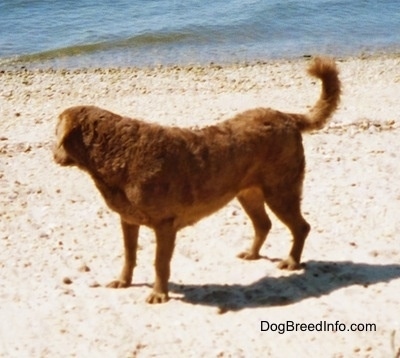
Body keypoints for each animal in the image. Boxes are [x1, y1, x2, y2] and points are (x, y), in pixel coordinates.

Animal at [54, 57, 340, 304]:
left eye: (55, 131)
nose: (52, 154)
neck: (118, 150)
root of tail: (288, 117)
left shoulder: (165, 225)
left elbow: (160, 263)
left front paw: (158, 294)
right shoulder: (128, 220)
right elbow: (129, 254)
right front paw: (123, 281)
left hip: (281, 189)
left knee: (300, 226)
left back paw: (291, 261)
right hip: (248, 192)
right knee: (264, 224)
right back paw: (252, 253)